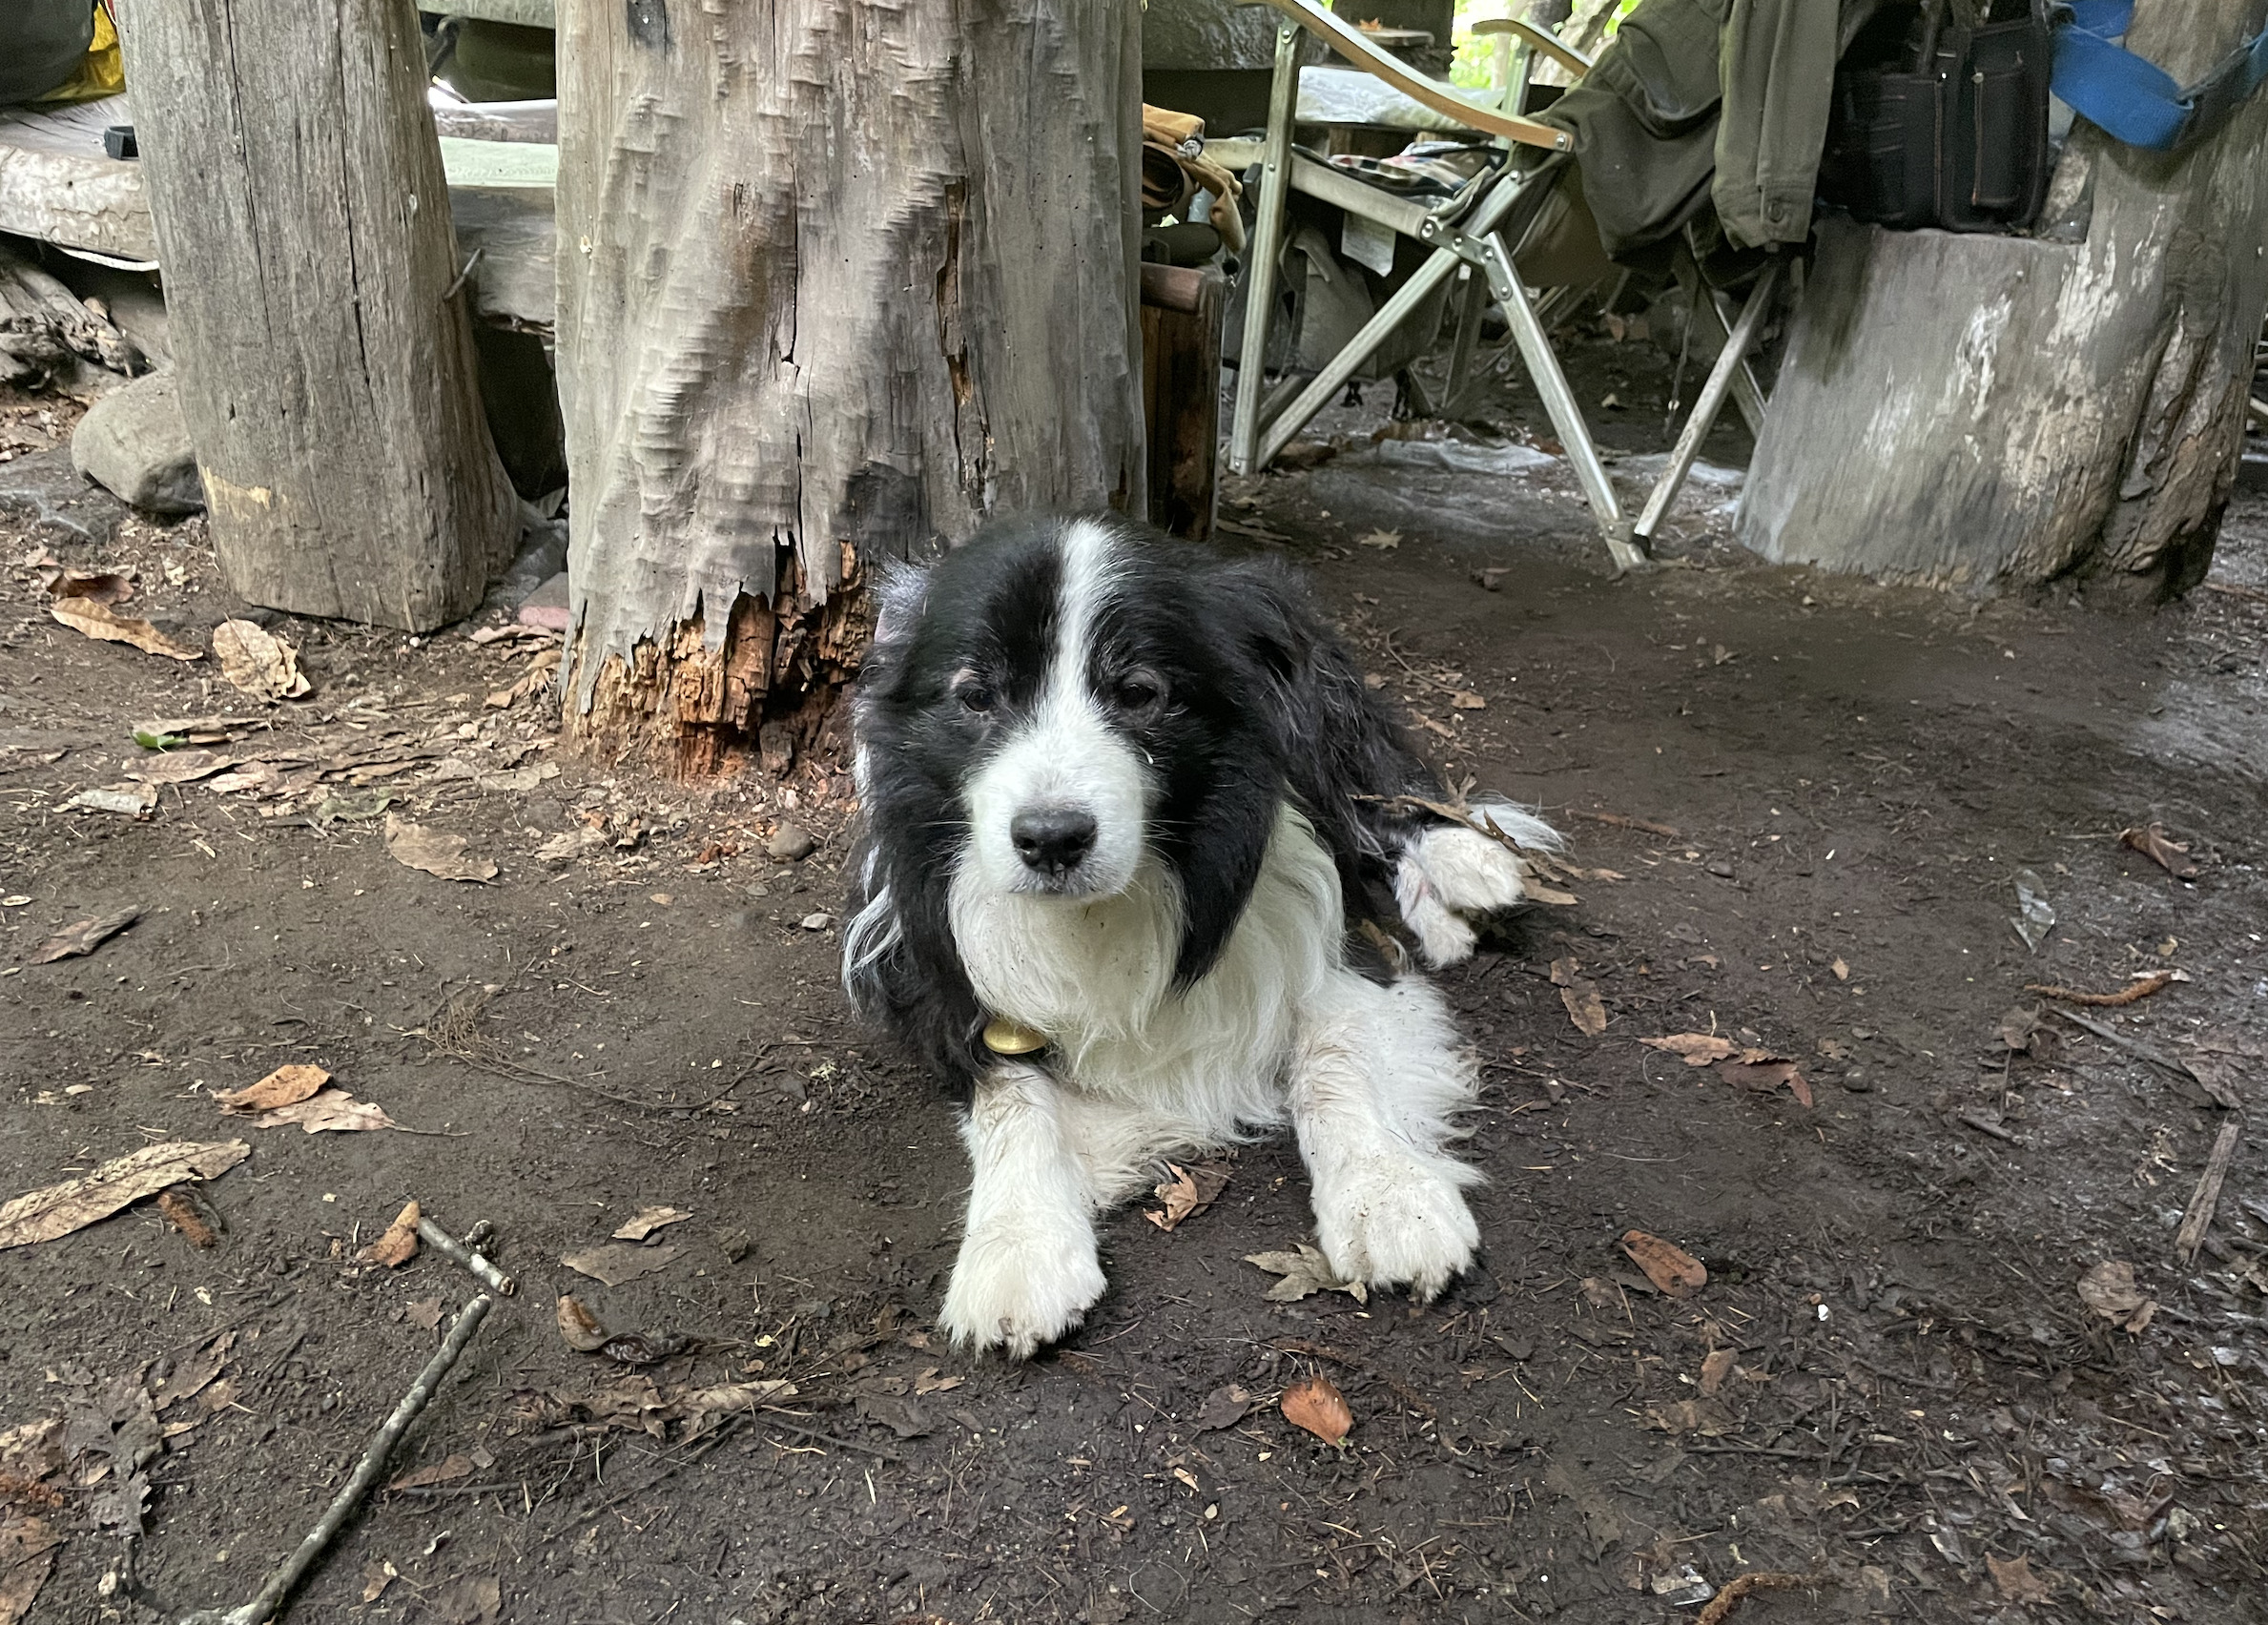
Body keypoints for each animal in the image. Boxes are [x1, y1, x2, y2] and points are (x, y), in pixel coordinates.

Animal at [843, 514, 1551, 1350]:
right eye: (976, 696)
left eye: (1140, 693)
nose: (1051, 840)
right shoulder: (928, 969)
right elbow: (1009, 1090)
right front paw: (1017, 1245)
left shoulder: (1331, 936)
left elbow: (1334, 1055)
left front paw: (1391, 1197)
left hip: (1322, 709)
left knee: (1376, 793)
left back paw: (1469, 869)